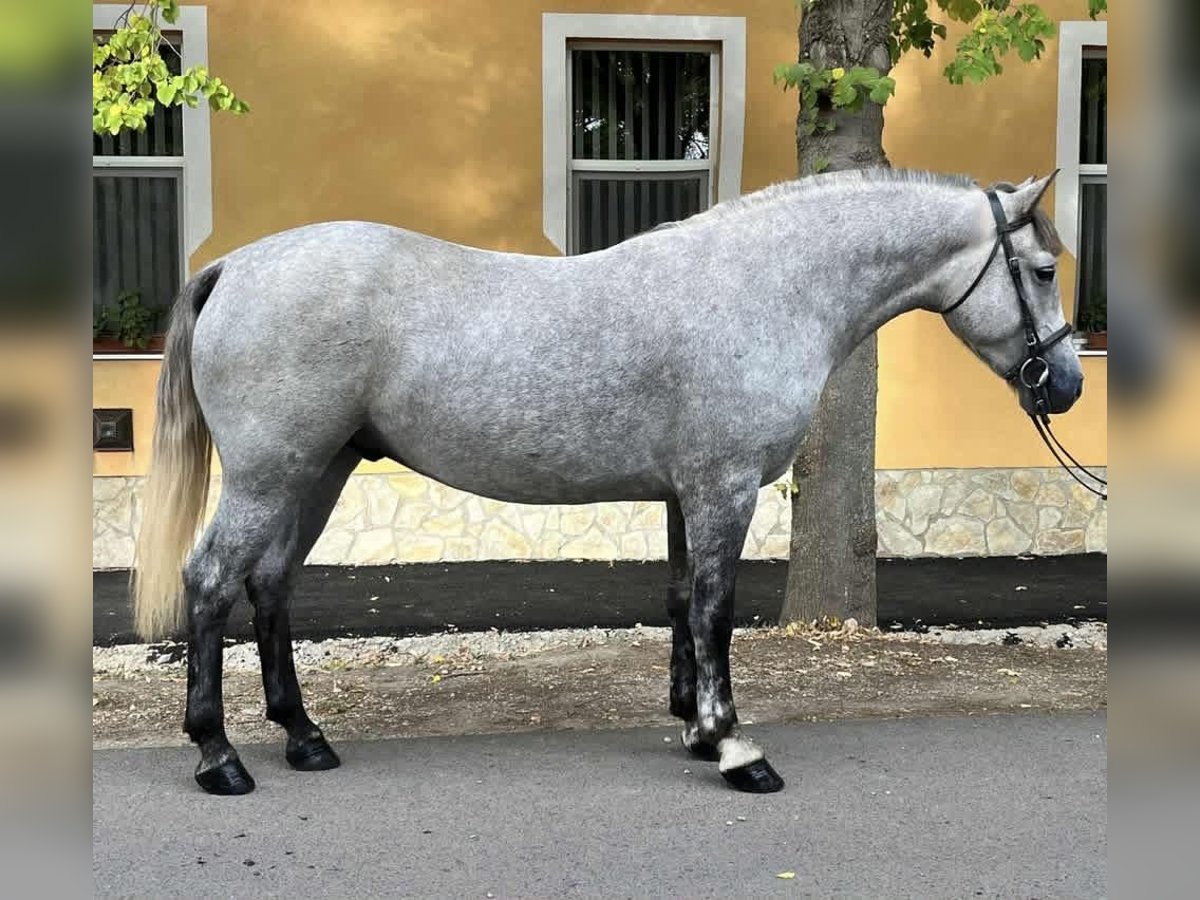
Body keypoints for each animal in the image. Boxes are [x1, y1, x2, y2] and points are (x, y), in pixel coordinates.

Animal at [133, 168, 1083, 796]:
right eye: (1041, 271)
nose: (1067, 385)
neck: (763, 288)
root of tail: (236, 267)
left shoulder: (684, 494)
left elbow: (682, 603)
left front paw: (697, 730)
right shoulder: (723, 488)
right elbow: (715, 612)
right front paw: (737, 750)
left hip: (316, 473)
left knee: (270, 585)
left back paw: (304, 737)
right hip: (271, 476)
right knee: (211, 582)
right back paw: (219, 757)